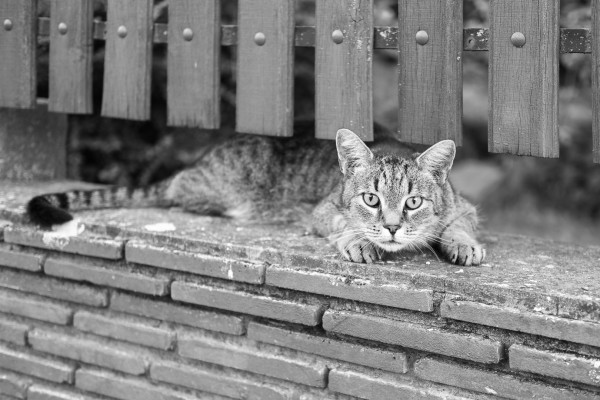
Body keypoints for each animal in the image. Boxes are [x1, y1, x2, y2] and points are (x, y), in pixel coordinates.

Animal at [28, 128, 486, 266]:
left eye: (413, 203)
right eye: (371, 200)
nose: (391, 227)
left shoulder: (465, 206)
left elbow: (460, 225)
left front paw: (463, 244)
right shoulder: (323, 209)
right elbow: (342, 224)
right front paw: (359, 240)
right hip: (215, 187)